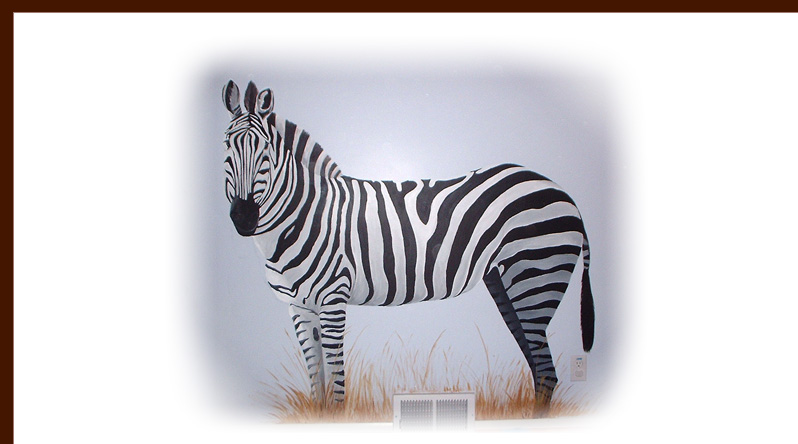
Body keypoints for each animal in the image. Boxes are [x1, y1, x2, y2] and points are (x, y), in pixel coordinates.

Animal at [221, 80, 595, 413]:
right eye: (226, 147)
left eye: (266, 152)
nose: (243, 218)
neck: (307, 216)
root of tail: (563, 192)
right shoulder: (299, 307)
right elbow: (318, 387)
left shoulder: (332, 300)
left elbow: (337, 389)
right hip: (505, 280)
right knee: (540, 371)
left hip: (537, 276)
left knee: (546, 371)